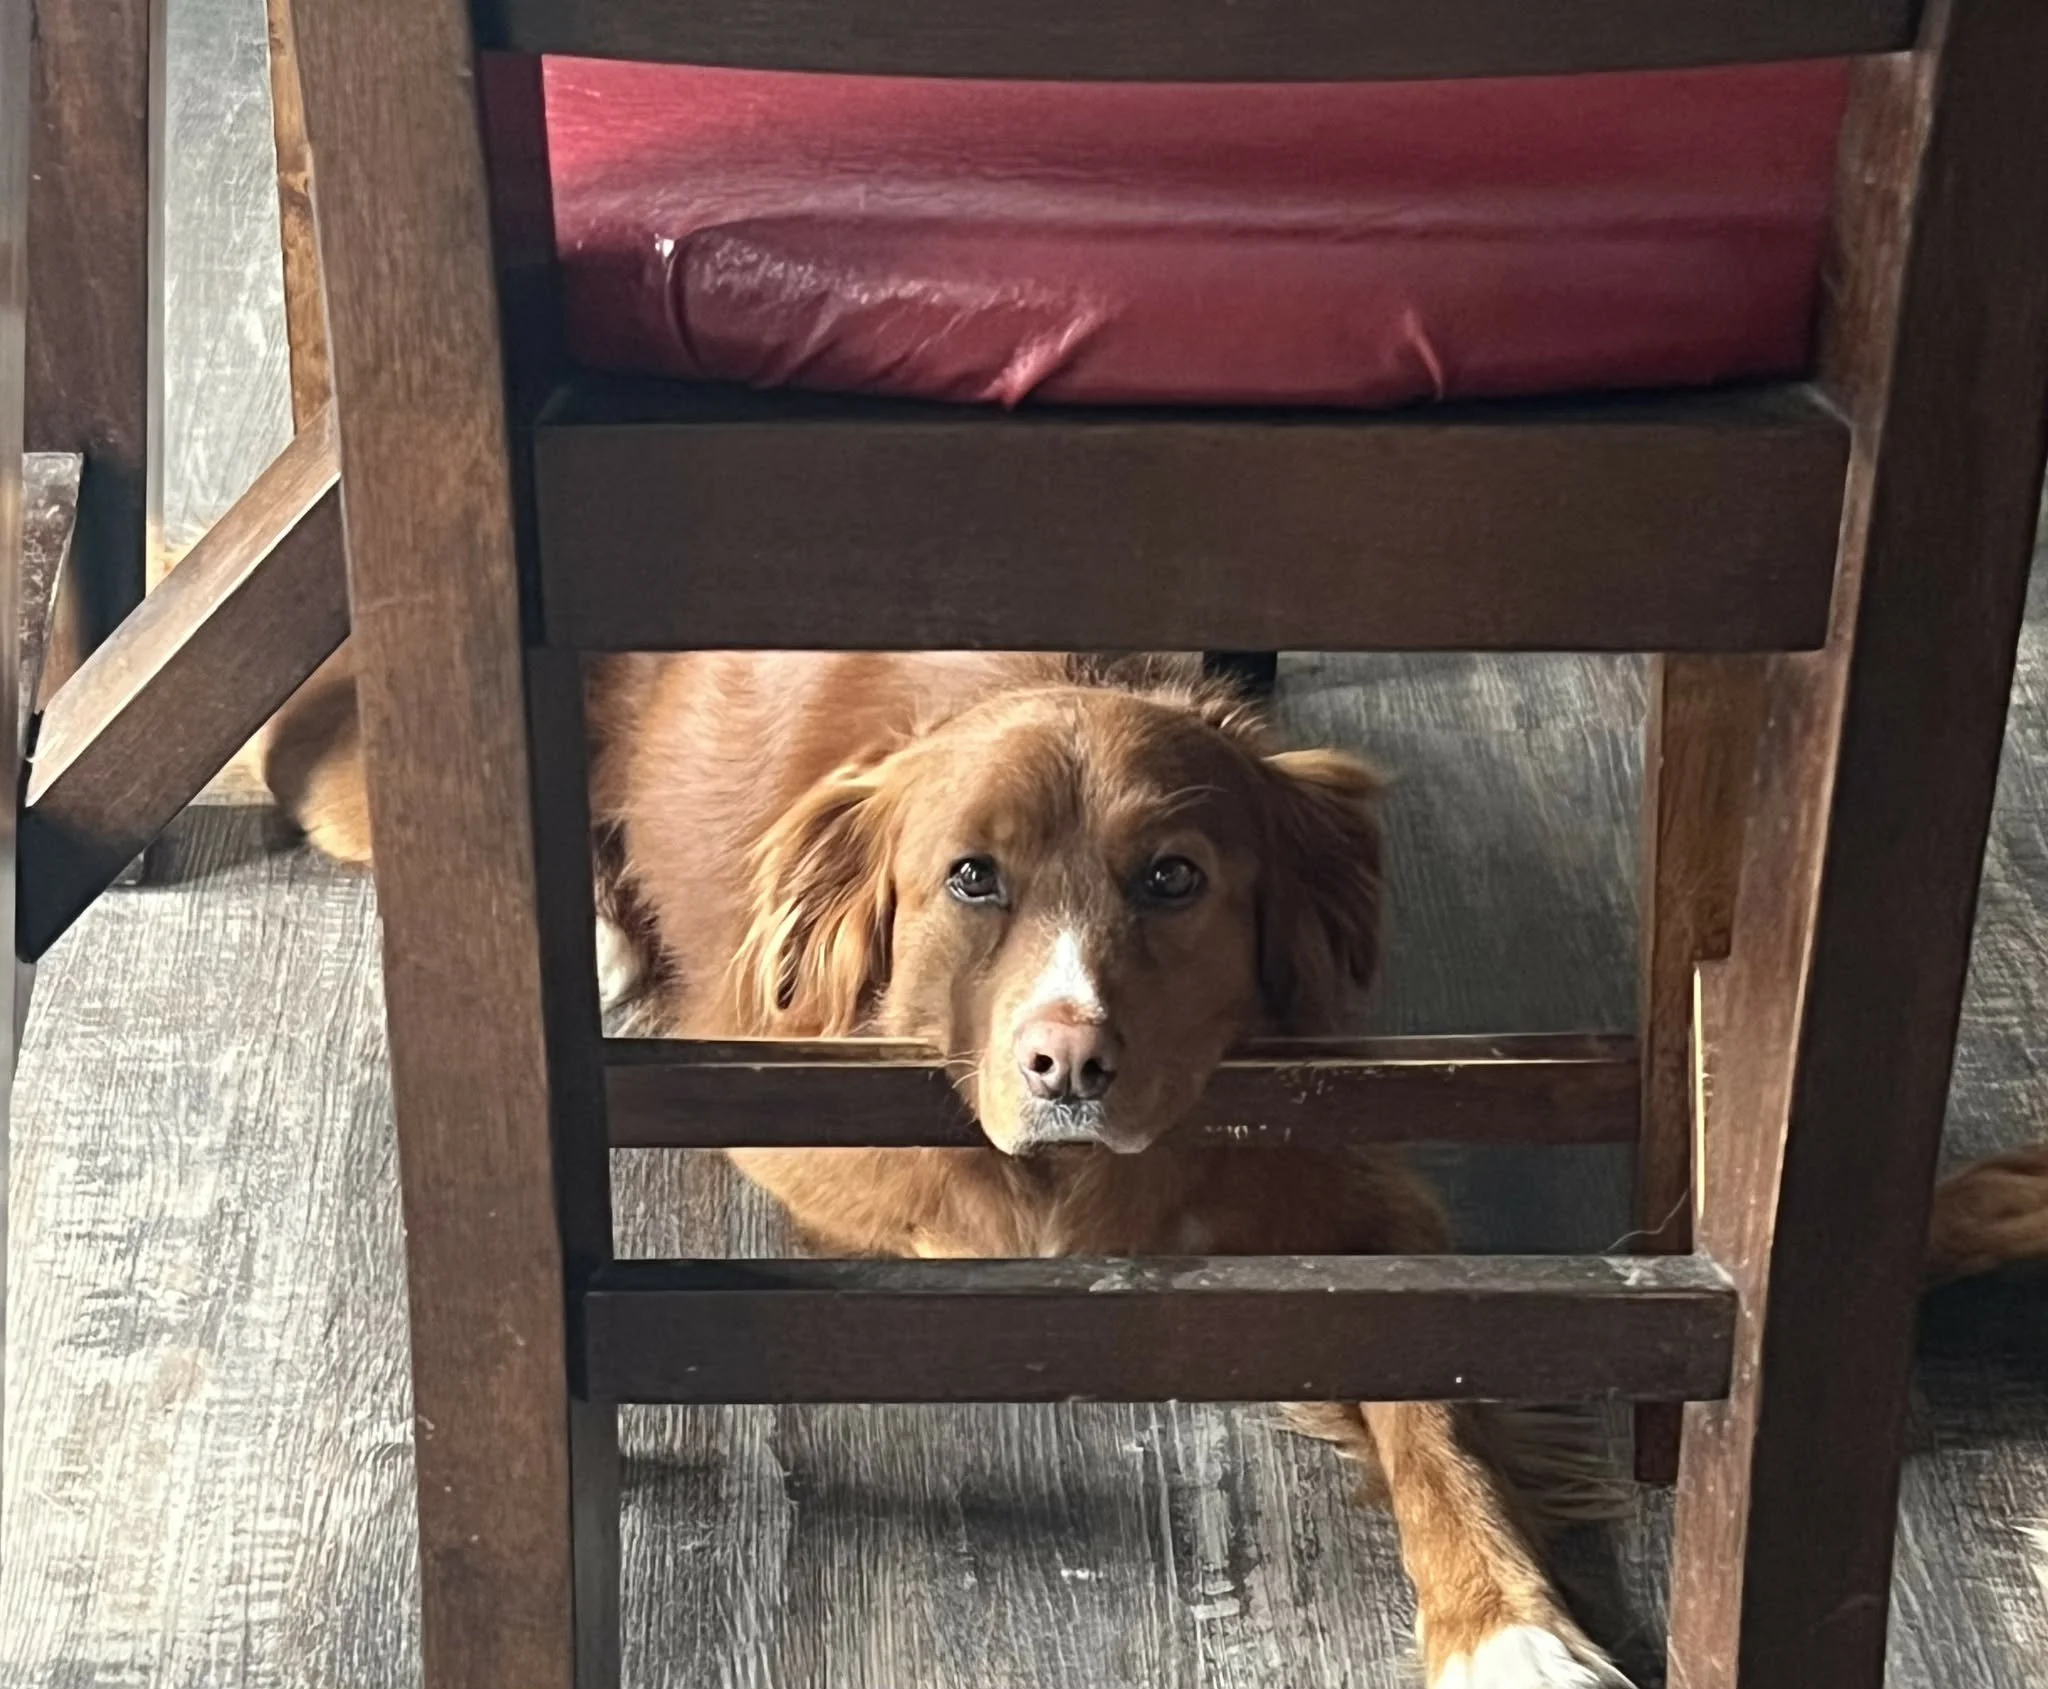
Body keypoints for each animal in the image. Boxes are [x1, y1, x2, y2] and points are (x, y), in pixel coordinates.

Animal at [267, 646, 2048, 1689]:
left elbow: (1457, 1390)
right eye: (969, 878)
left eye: (1176, 878)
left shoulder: (1356, 1191)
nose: (1070, 1066)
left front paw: (1510, 1626)